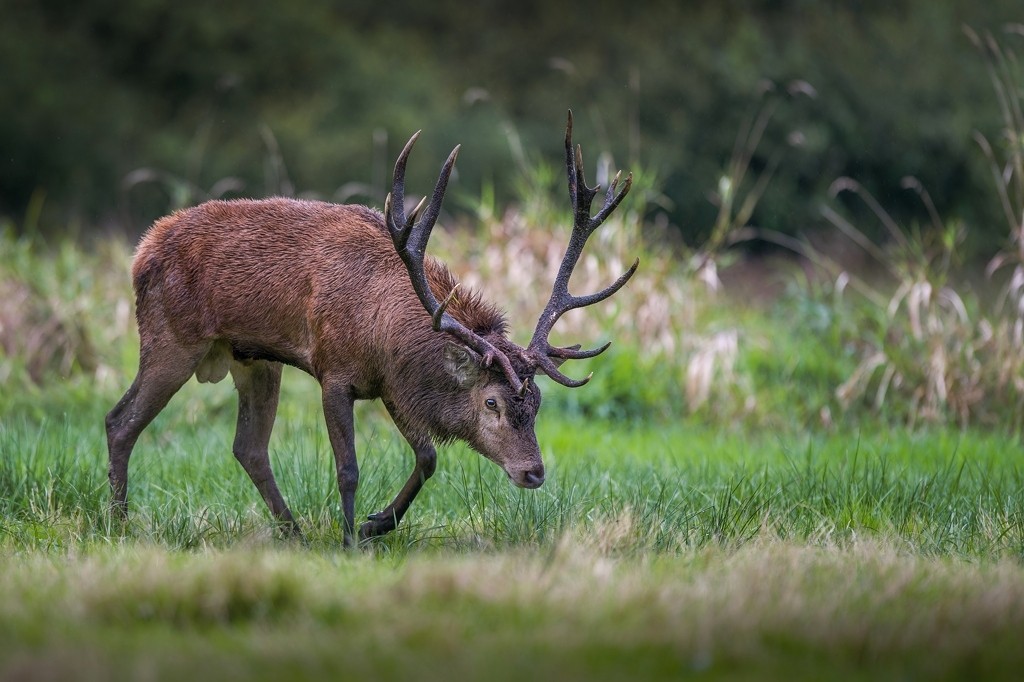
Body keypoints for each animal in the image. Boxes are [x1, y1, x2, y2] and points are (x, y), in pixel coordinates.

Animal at [103, 112, 630, 548]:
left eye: (536, 402)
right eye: (491, 402)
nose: (534, 472)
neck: (383, 334)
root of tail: (141, 250)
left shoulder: (393, 386)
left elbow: (427, 458)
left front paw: (375, 524)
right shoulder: (334, 372)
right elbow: (349, 468)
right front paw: (349, 540)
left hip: (254, 360)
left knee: (248, 447)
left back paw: (293, 532)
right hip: (171, 337)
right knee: (120, 421)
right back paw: (120, 521)